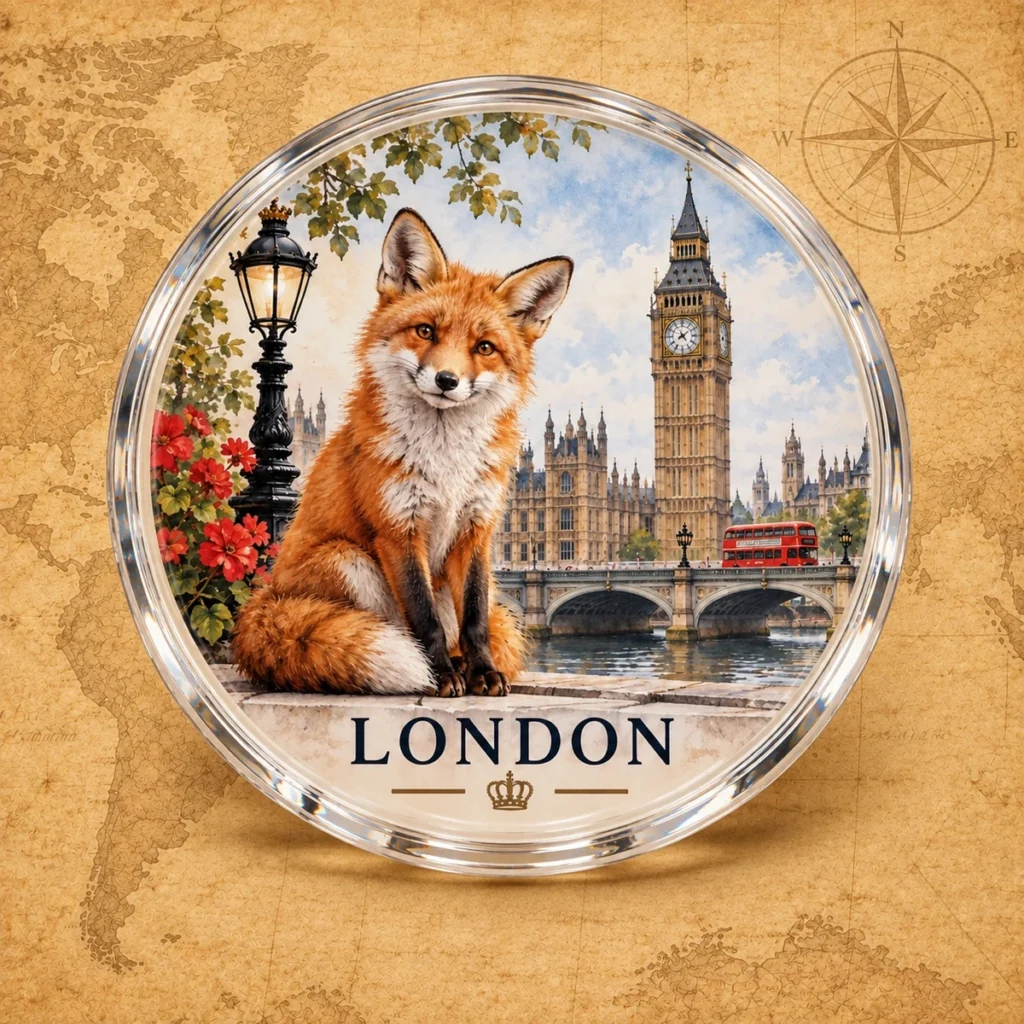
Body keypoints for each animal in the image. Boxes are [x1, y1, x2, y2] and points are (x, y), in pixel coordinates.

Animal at [232, 207, 573, 697]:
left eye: (484, 347)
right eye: (426, 331)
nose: (447, 380)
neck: (446, 458)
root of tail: (264, 602)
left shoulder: (475, 531)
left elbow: (475, 620)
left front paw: (483, 672)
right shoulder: (397, 528)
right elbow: (422, 617)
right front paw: (442, 675)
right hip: (347, 558)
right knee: (382, 626)